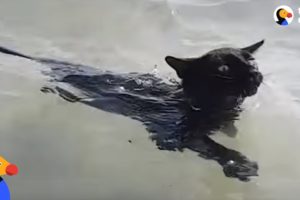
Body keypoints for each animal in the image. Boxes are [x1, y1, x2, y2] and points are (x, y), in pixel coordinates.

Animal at [0, 39, 264, 180]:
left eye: (250, 60)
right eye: (224, 69)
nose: (255, 74)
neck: (221, 105)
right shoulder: (173, 135)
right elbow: (211, 146)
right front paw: (239, 164)